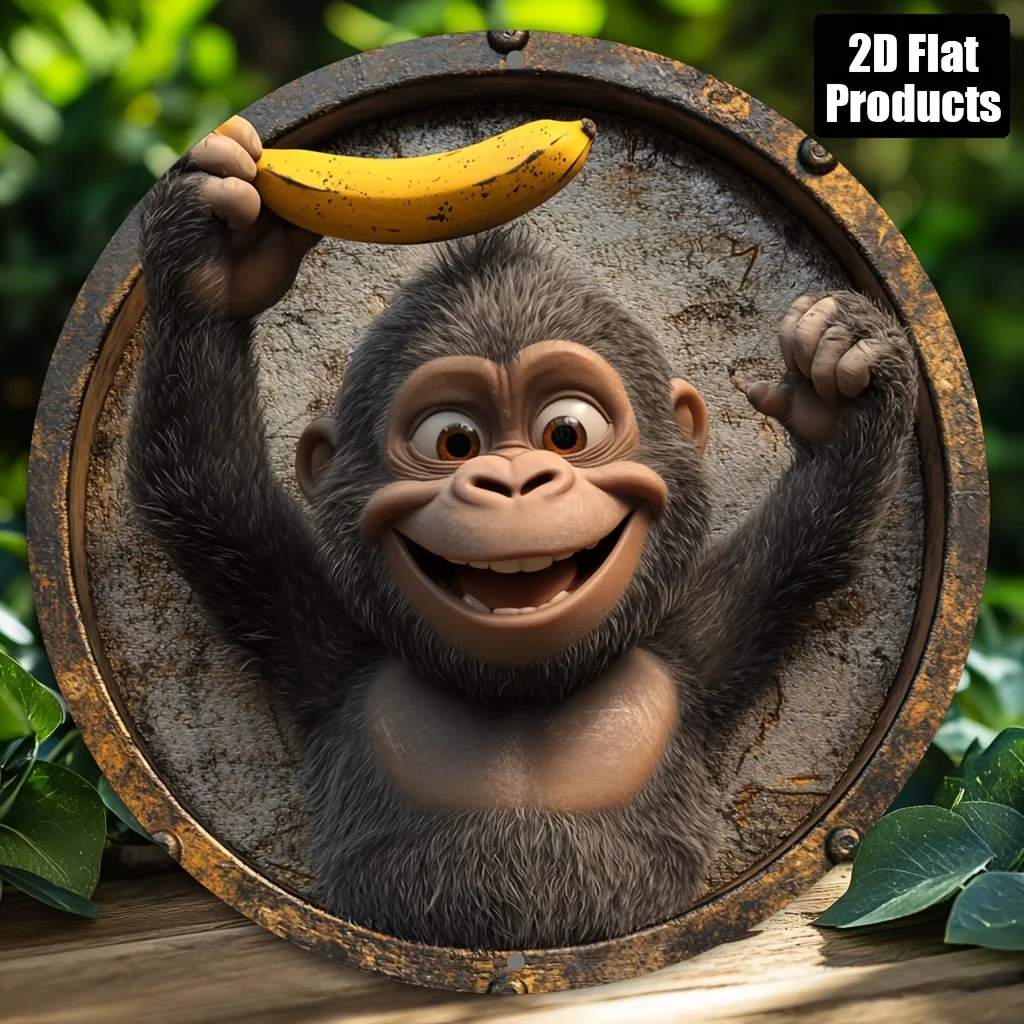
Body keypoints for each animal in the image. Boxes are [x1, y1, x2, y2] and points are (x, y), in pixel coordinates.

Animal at [127, 115, 919, 950]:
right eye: (453, 441)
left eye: (566, 433)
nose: (513, 482)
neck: (521, 692)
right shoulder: (325, 646)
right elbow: (207, 496)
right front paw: (216, 263)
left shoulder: (698, 645)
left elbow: (802, 555)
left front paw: (841, 382)